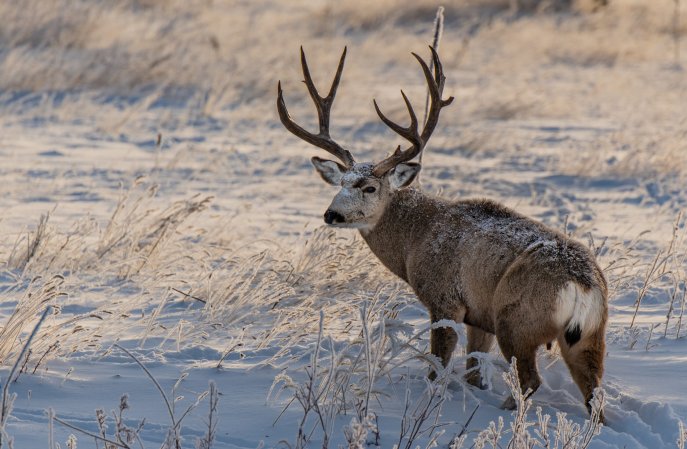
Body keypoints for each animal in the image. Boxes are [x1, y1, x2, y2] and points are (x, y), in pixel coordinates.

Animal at [276, 46, 612, 416]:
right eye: (342, 183)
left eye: (369, 187)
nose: (332, 214)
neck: (415, 238)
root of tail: (581, 283)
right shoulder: (479, 317)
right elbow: (473, 372)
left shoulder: (444, 300)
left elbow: (437, 368)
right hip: (588, 335)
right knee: (594, 394)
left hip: (517, 320)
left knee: (529, 381)